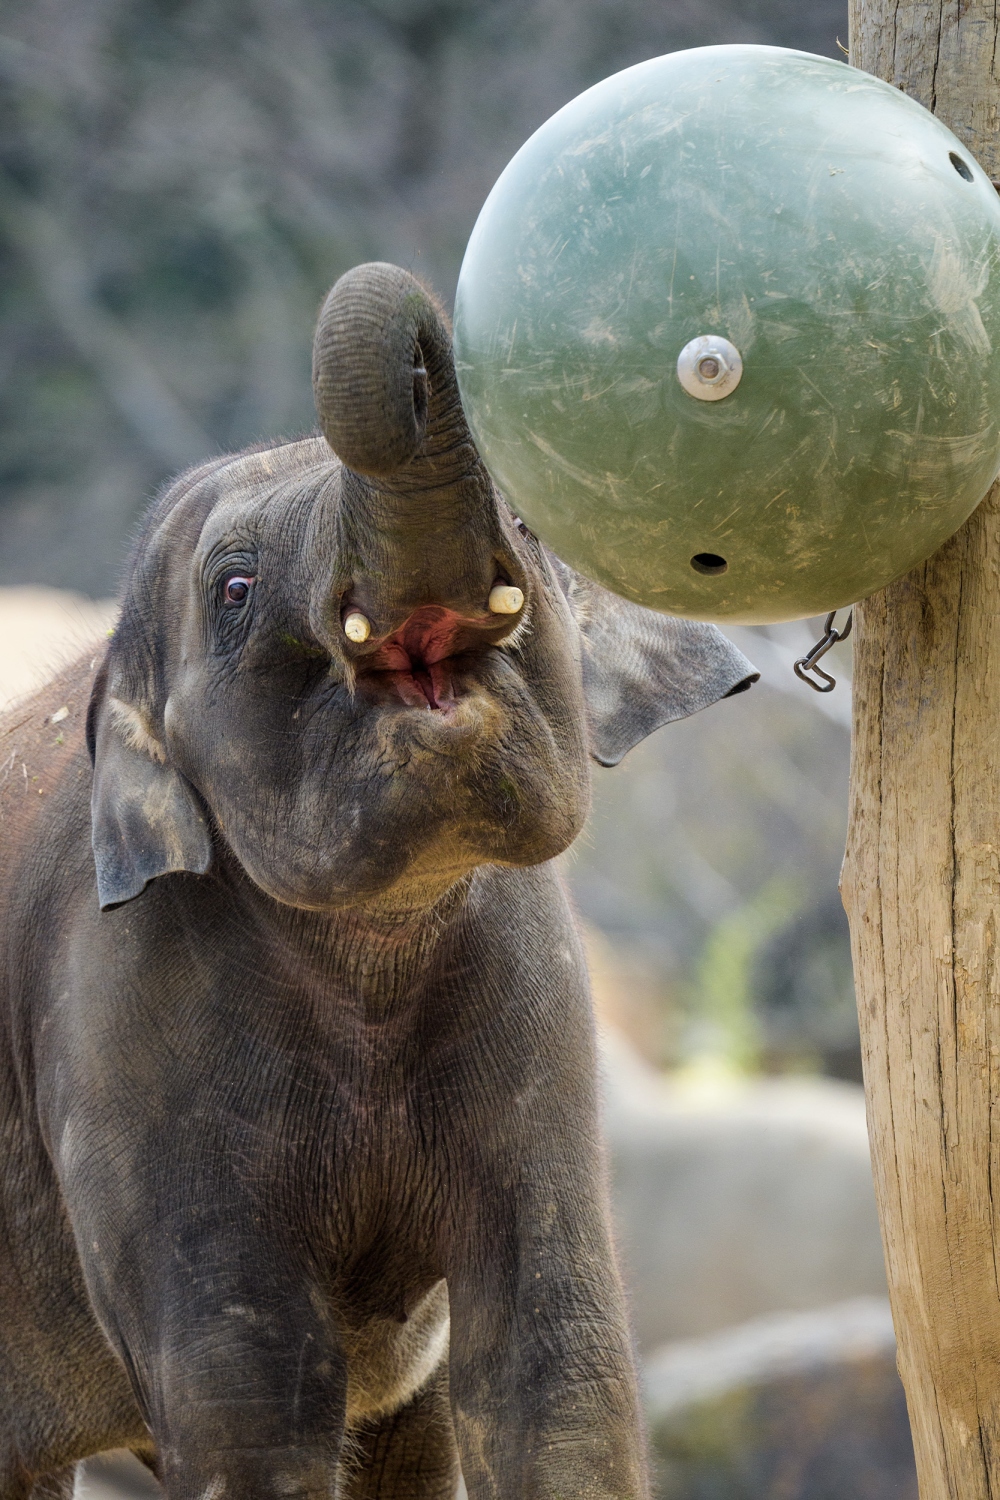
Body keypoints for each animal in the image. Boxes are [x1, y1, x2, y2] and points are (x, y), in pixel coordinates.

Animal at [0, 264, 749, 1500]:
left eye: (528, 524)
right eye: (235, 587)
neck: (375, 945)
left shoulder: (533, 1000)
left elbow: (555, 1366)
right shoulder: (120, 1022)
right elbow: (250, 1402)